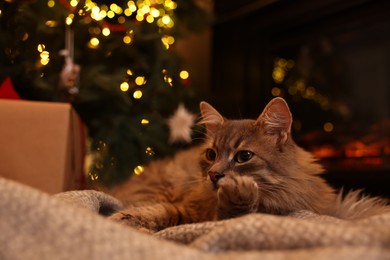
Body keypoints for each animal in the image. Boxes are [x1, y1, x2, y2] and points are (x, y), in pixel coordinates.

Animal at [109, 97, 390, 232]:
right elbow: (159, 211)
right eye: (211, 154)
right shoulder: (187, 207)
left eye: (244, 157)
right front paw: (121, 220)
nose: (214, 175)